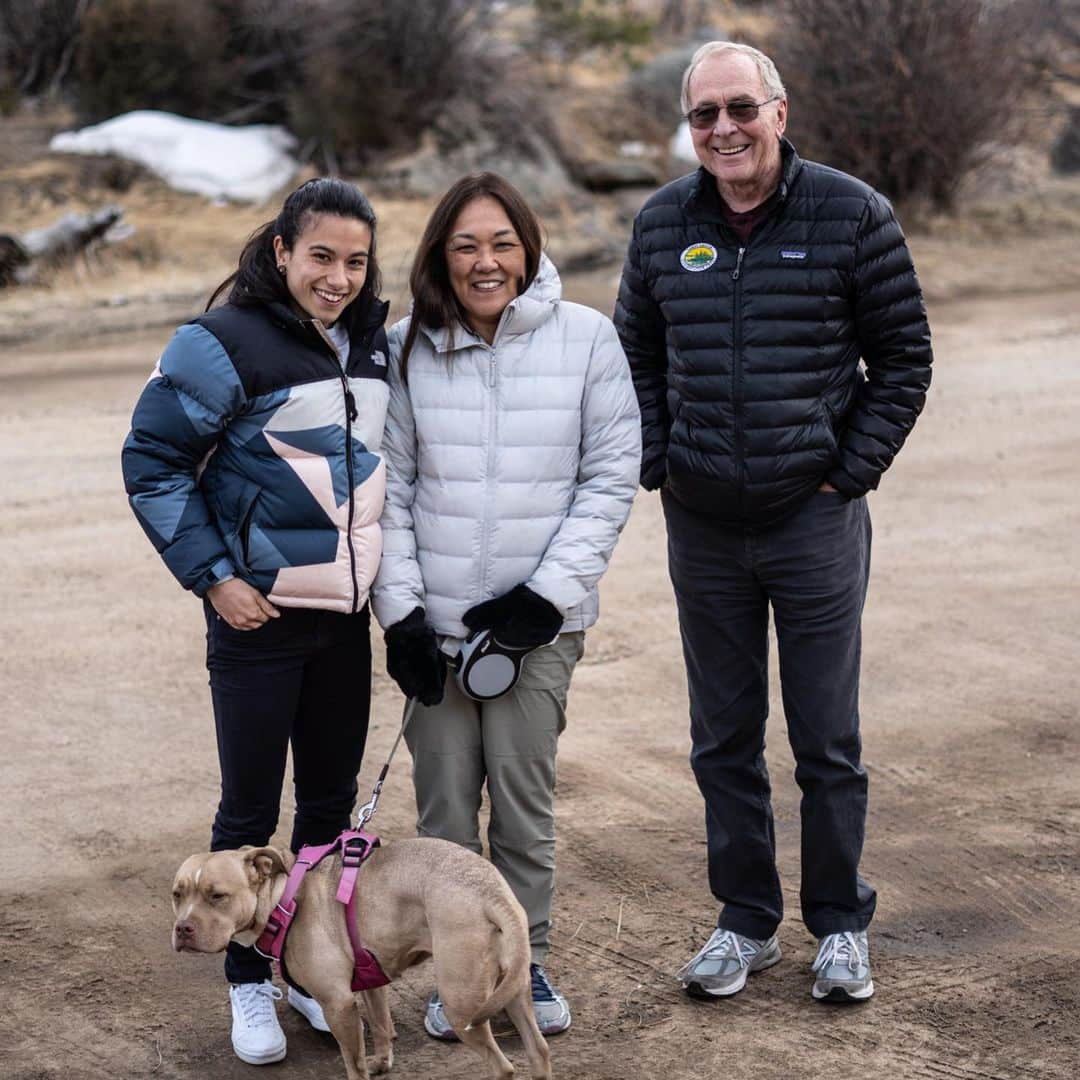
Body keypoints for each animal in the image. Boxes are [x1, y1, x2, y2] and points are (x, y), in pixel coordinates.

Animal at [174, 833, 557, 1080]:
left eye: (217, 896)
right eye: (178, 895)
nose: (182, 929)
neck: (284, 899)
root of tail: (491, 890)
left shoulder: (339, 1005)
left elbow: (353, 1063)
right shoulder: (373, 980)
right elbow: (382, 1025)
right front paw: (383, 1062)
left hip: (461, 1003)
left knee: (502, 1068)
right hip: (514, 989)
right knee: (538, 1051)